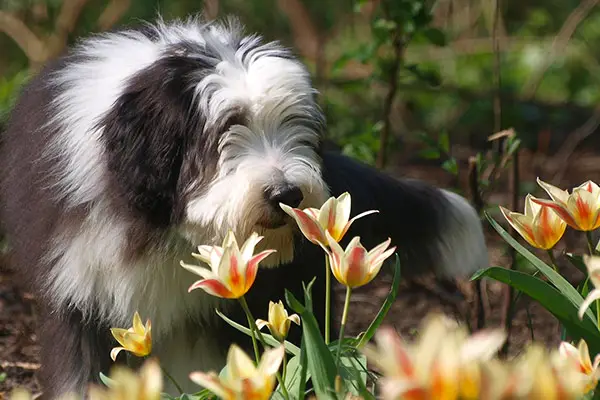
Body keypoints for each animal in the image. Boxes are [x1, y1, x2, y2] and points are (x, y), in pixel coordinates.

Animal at [0, 16, 488, 400]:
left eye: (295, 126)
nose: (288, 194)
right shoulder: (81, 295)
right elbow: (79, 374)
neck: (164, 229)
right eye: (226, 130)